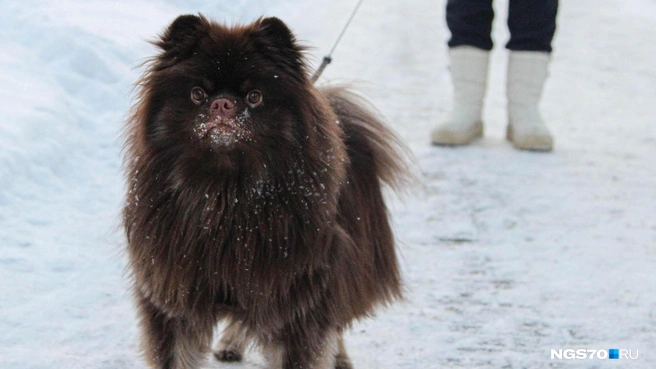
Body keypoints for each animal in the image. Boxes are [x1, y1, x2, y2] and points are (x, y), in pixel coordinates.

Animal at [123, 15, 408, 368]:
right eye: (198, 93)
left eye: (254, 96)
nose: (222, 103)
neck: (226, 194)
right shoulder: (173, 298)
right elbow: (175, 356)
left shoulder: (295, 301)